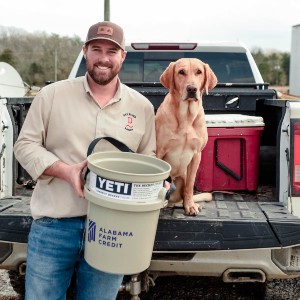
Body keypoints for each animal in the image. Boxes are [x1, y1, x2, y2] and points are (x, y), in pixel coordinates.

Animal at [156, 57, 217, 214]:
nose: (192, 89)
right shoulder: (159, 151)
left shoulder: (196, 155)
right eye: (181, 72)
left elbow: (190, 185)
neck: (186, 117)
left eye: (199, 72)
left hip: (181, 179)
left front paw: (190, 206)